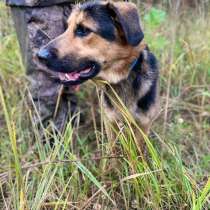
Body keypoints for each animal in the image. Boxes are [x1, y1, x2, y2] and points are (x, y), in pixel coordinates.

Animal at [37, 0, 159, 151]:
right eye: (66, 27)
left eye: (83, 30)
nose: (39, 56)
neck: (121, 78)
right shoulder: (111, 123)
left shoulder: (143, 126)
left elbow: (138, 151)